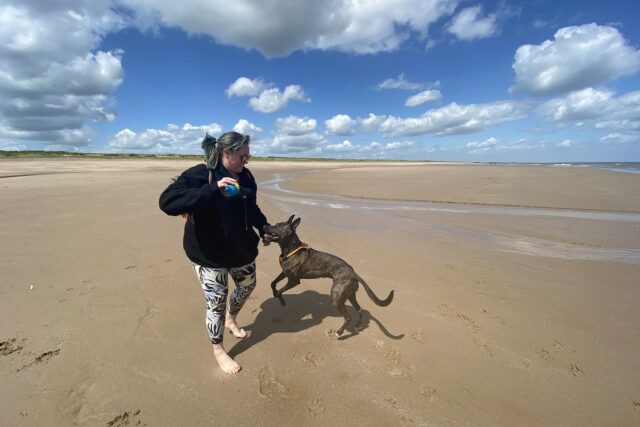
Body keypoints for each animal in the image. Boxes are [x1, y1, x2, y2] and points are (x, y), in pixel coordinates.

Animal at [262, 216, 392, 336]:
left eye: (279, 226)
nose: (264, 226)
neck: (291, 248)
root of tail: (353, 272)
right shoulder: (284, 273)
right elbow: (272, 283)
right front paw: (277, 295)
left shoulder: (294, 280)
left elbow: (279, 291)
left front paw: (282, 301)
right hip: (349, 294)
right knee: (359, 310)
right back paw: (357, 326)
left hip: (336, 296)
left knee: (348, 317)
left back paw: (339, 332)